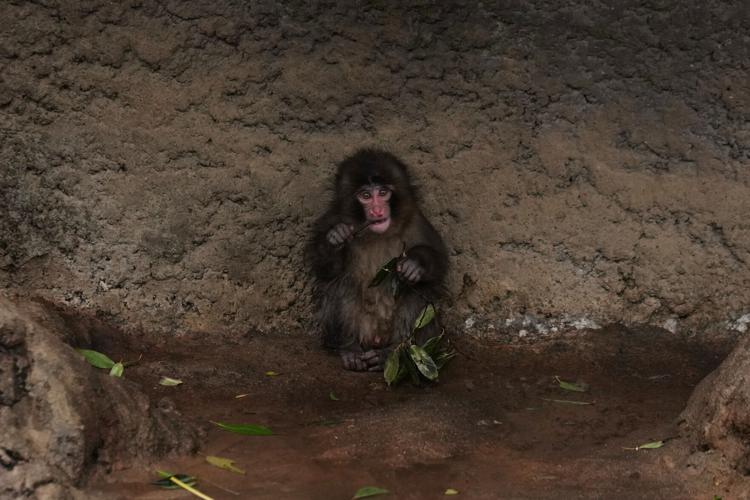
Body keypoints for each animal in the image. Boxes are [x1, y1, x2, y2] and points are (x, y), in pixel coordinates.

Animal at [306, 148, 449, 372]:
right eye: (365, 196)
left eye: (383, 193)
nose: (377, 211)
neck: (377, 235)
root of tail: (374, 339)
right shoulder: (331, 219)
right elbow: (324, 269)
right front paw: (336, 238)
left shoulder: (417, 222)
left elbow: (439, 263)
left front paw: (415, 264)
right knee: (341, 283)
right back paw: (350, 349)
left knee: (418, 290)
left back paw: (391, 353)